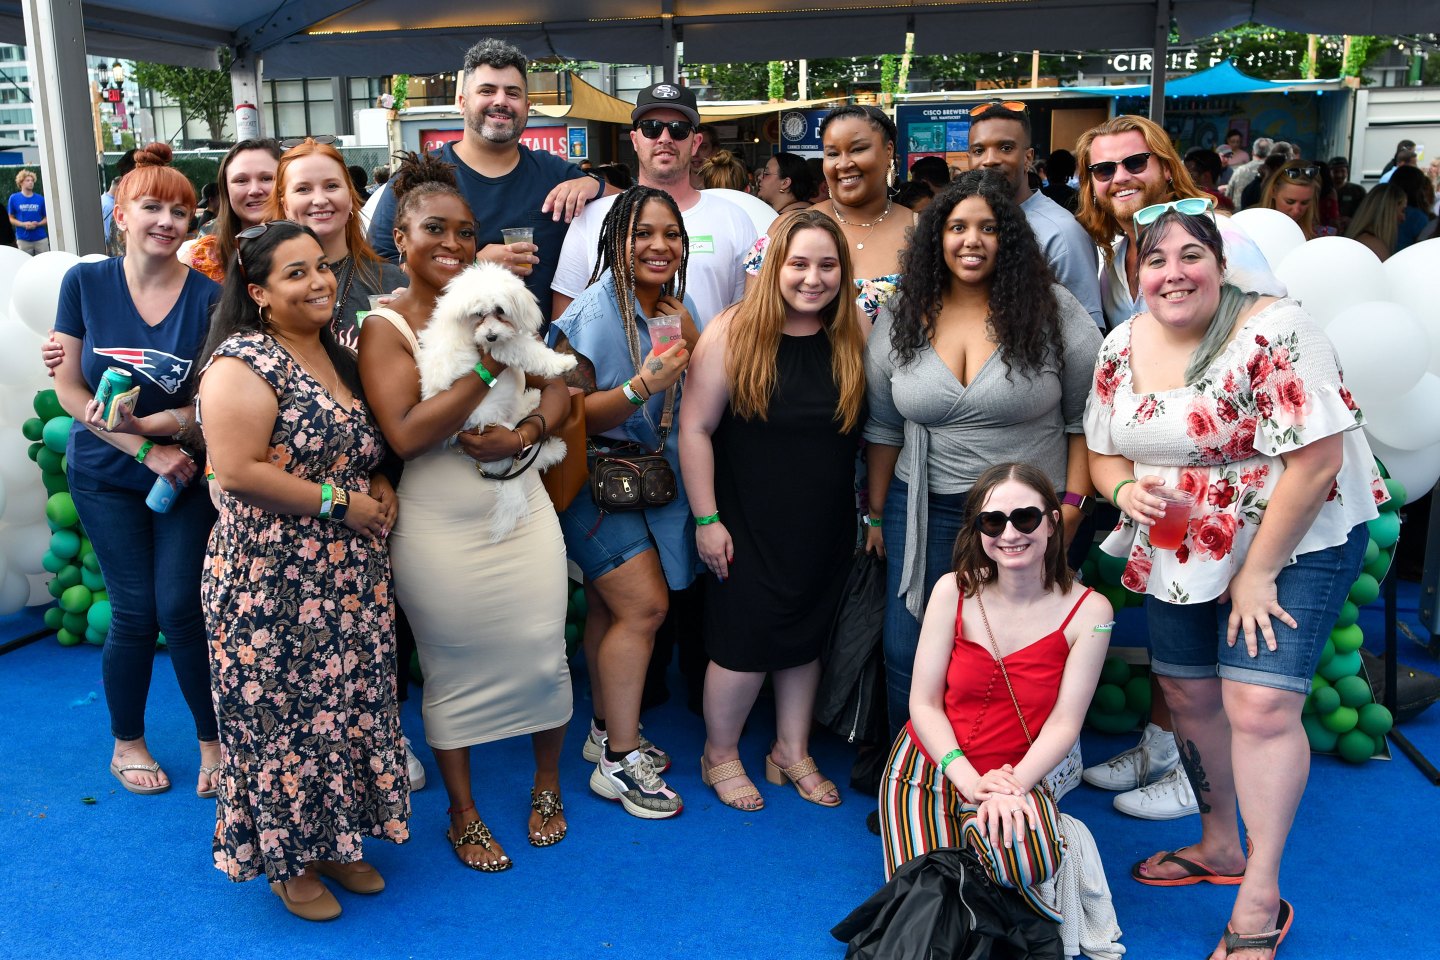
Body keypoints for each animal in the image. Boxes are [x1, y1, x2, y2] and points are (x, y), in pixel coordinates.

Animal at [415, 261, 576, 541]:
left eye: (500, 311)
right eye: (478, 314)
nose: (490, 336)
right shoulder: (500, 349)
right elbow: (528, 349)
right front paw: (562, 363)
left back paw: (532, 399)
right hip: (496, 426)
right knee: (524, 458)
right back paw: (555, 449)